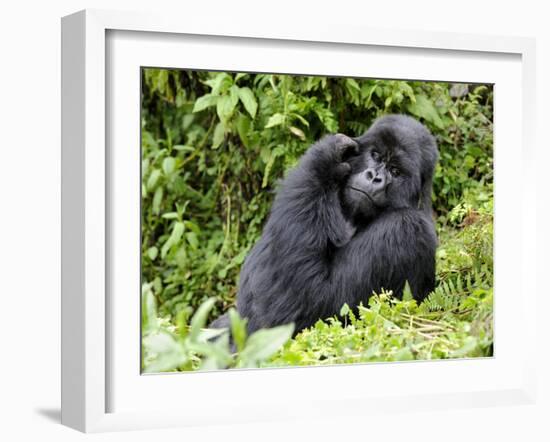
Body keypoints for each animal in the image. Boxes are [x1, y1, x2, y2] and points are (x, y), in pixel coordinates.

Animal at [211, 113, 440, 334]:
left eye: (395, 171)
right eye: (375, 155)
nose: (374, 176)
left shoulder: (406, 227)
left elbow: (316, 303)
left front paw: (323, 159)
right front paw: (332, 155)